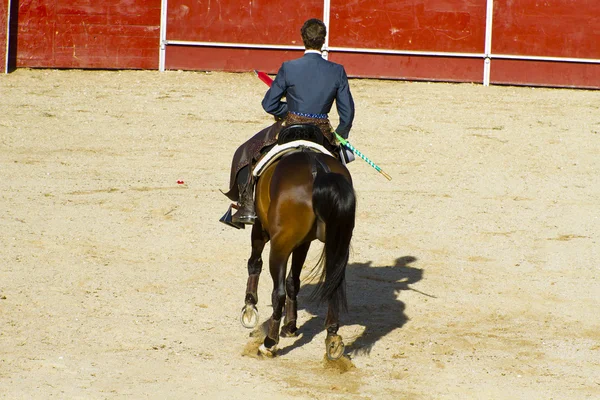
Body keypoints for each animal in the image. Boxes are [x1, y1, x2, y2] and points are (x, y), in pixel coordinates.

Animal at [238, 127, 356, 360]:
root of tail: (318, 171)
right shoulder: (304, 242)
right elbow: (294, 280)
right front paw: (291, 325)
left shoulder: (261, 229)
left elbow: (255, 263)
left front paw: (249, 308)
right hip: (336, 244)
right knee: (332, 286)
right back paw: (332, 338)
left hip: (279, 246)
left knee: (278, 292)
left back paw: (269, 343)